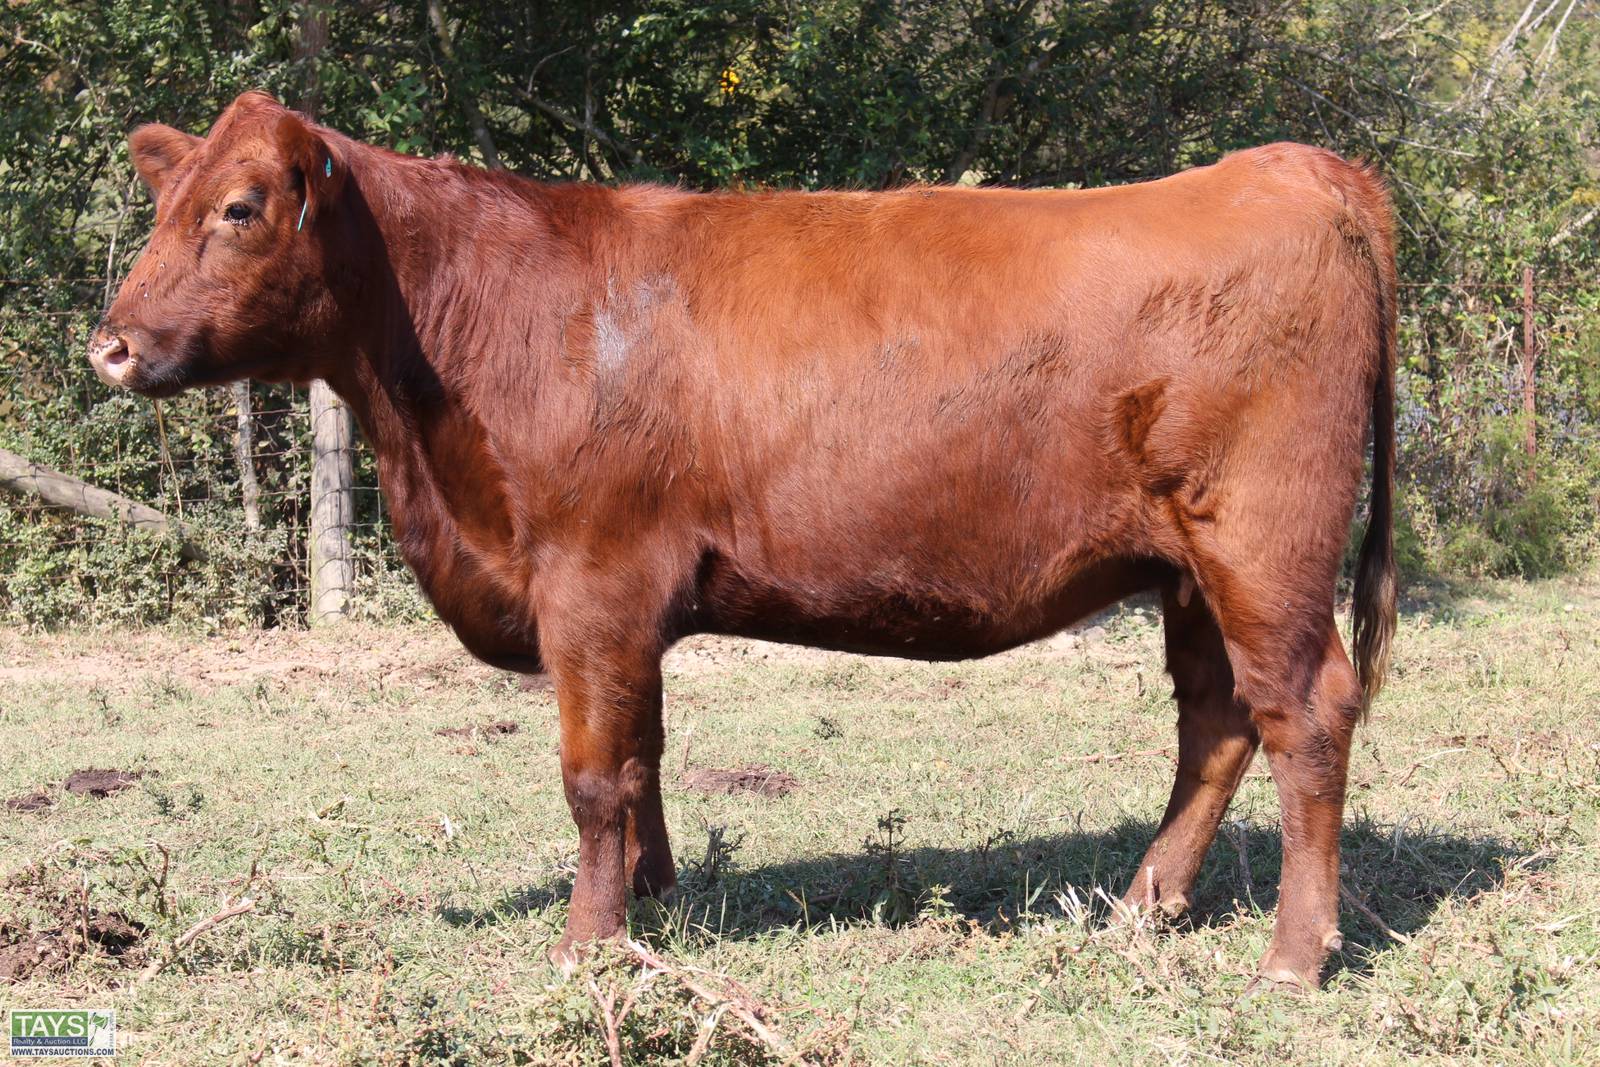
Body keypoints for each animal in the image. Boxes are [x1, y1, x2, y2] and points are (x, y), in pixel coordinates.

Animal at [88, 92, 1396, 989]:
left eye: (239, 209)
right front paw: (655, 904)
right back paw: (1141, 905)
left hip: (1262, 541)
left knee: (1304, 711)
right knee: (1217, 720)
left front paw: (588, 944)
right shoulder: (621, 611)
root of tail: (1290, 166)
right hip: (1190, 569)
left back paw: (1292, 956)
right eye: (161, 206)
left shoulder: (591, 582)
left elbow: (592, 775)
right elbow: (643, 758)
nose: (109, 345)